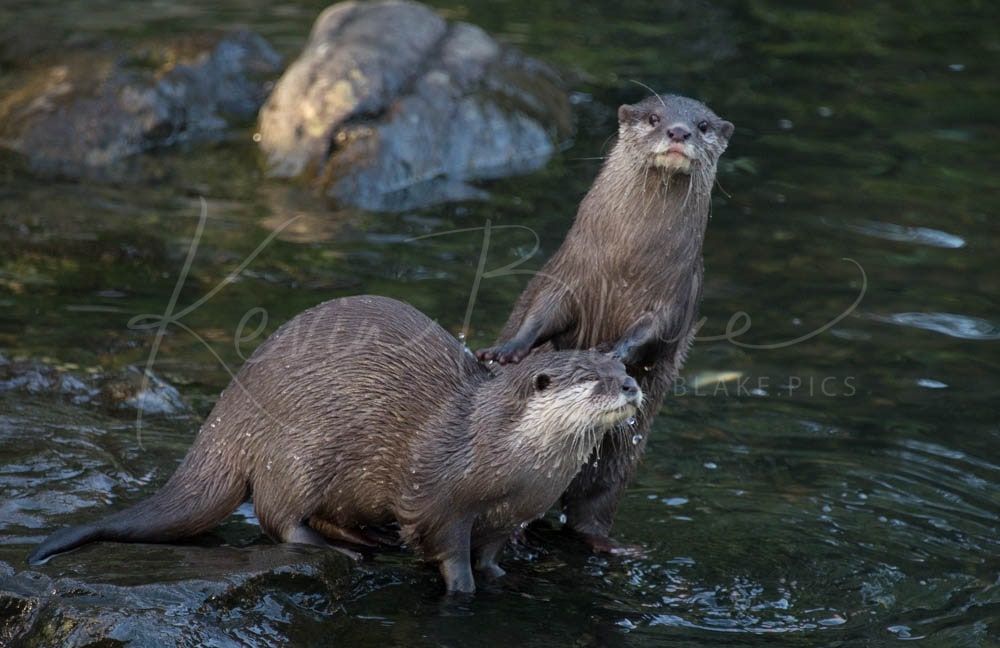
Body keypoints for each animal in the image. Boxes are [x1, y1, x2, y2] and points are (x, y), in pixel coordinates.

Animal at [29, 296, 641, 593]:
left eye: (623, 367)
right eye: (593, 378)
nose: (631, 387)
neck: (502, 464)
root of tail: (227, 420)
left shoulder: (507, 516)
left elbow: (489, 555)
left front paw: (499, 579)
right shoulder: (438, 499)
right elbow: (448, 553)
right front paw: (465, 590)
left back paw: (365, 536)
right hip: (299, 452)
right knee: (277, 516)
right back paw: (339, 548)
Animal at [477, 93, 733, 550]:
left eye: (703, 125)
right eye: (654, 117)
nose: (679, 132)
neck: (626, 264)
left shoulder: (675, 298)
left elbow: (654, 333)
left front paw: (612, 351)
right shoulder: (570, 273)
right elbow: (543, 313)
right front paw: (507, 351)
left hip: (619, 459)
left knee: (592, 505)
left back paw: (609, 544)